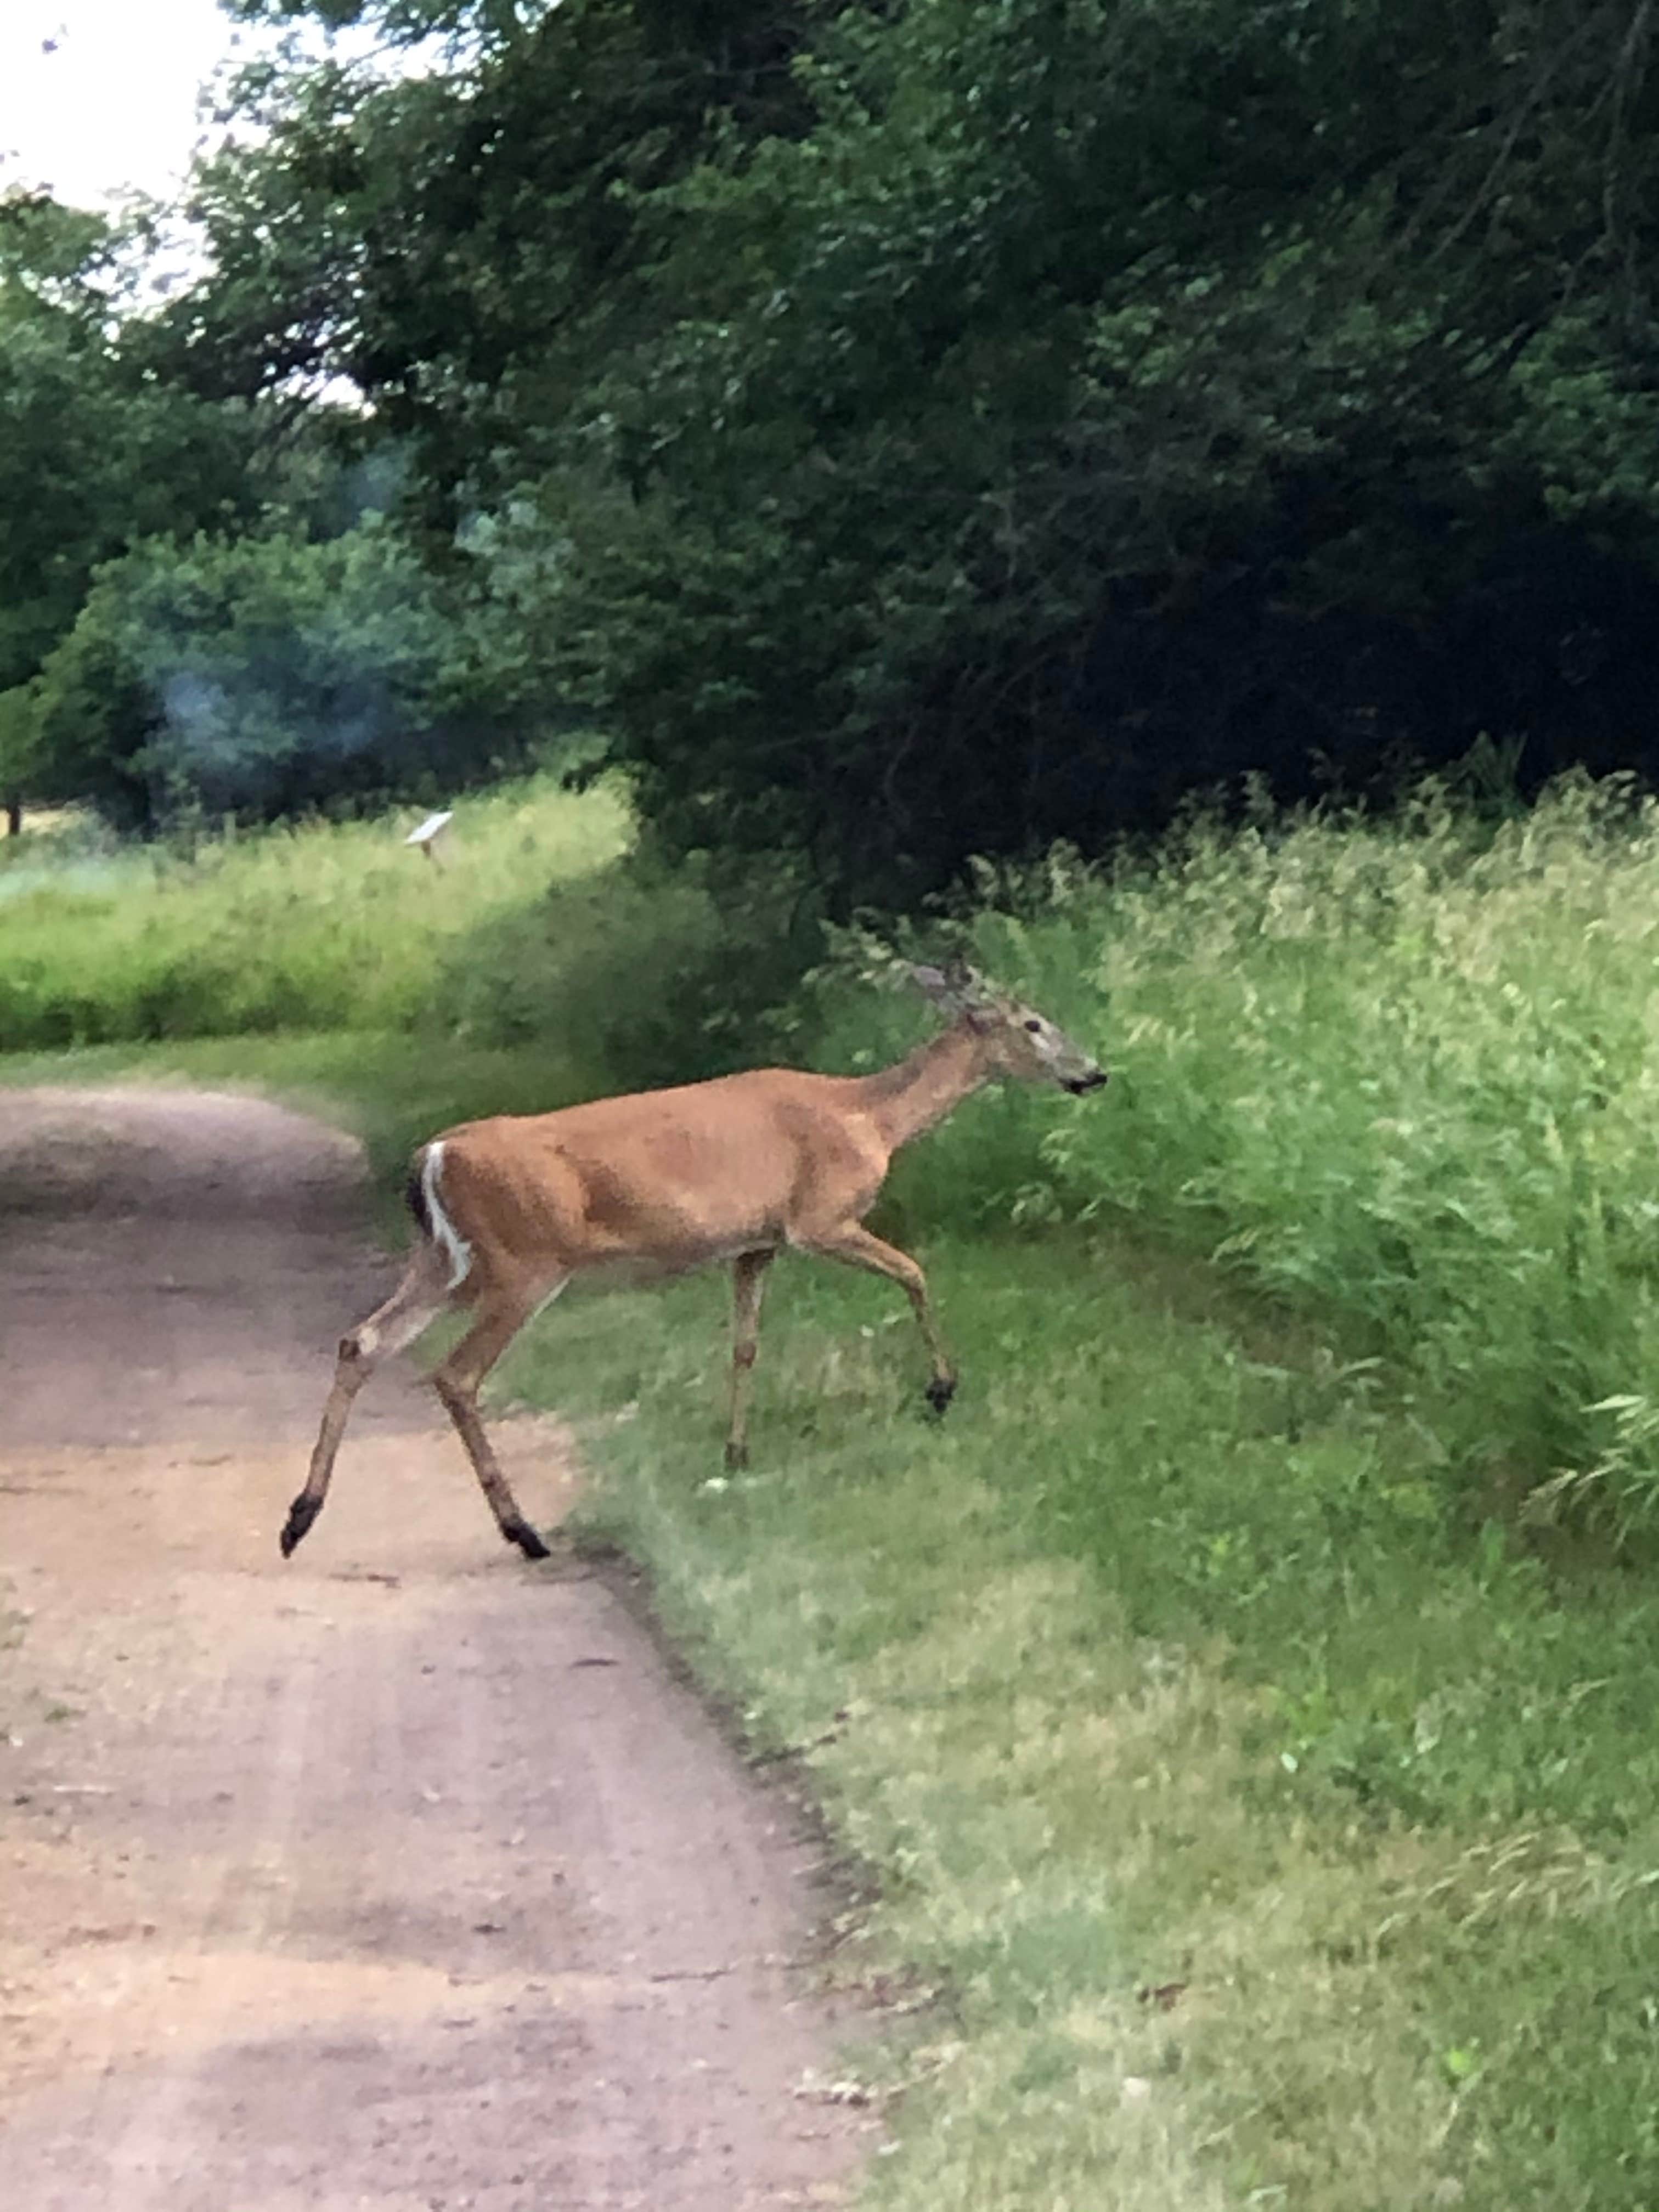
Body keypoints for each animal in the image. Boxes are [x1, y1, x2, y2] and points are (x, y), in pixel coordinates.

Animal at [285, 960, 1110, 1566]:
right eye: (1034, 1023)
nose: (1095, 1072)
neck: (871, 1119)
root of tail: (433, 1154)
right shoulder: (819, 1218)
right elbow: (915, 1272)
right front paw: (941, 1390)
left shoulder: (755, 1243)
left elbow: (745, 1344)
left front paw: (736, 1453)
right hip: (524, 1262)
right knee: (455, 1375)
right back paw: (522, 1532)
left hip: (444, 1262)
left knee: (362, 1340)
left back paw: (302, 1519)